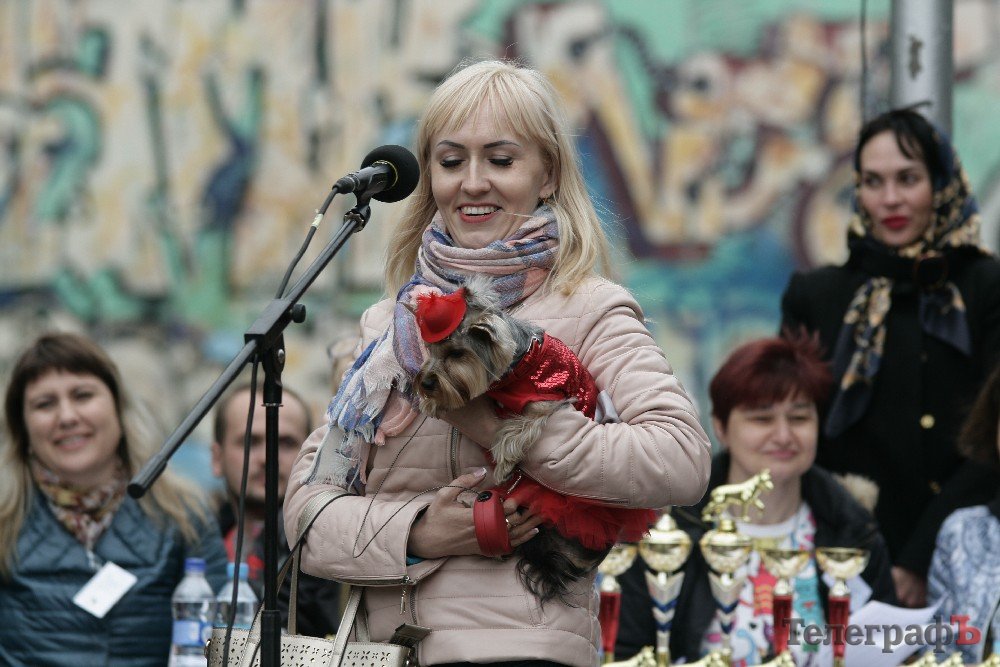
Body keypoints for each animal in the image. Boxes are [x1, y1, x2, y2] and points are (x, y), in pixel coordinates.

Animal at [409, 275, 654, 604]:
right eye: (432, 351)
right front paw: (432, 403)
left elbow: (516, 430)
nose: (425, 382)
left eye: (457, 354)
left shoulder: (547, 400)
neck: (519, 362)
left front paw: (502, 463)